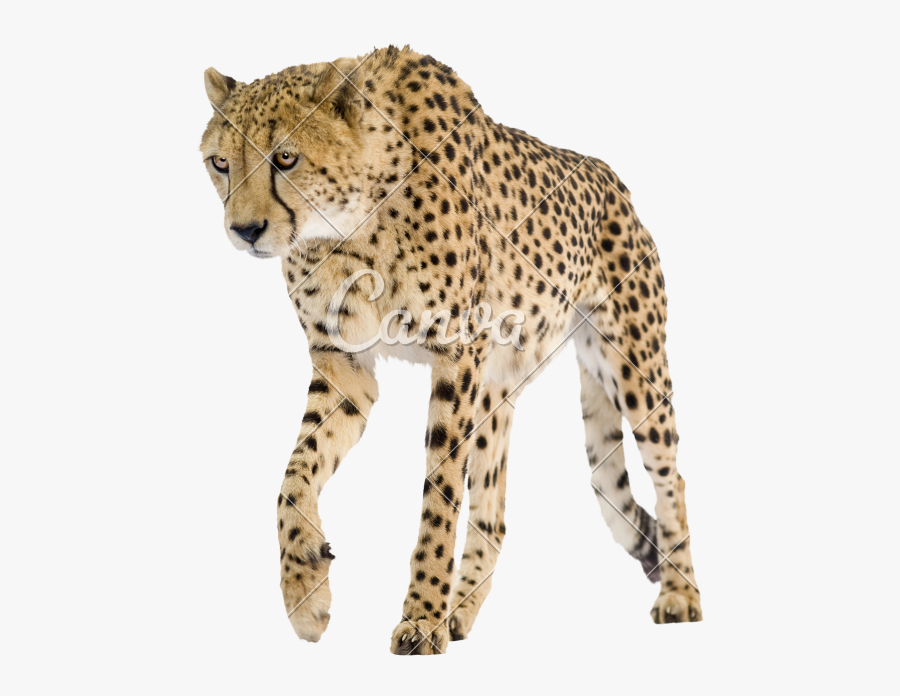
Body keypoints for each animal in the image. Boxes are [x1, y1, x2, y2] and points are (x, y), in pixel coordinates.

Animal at [198, 45, 702, 655]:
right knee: (494, 512)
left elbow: (439, 494)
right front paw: (304, 591)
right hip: (497, 390)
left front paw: (420, 617)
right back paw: (460, 610)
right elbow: (295, 474)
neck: (349, 226)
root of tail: (610, 177)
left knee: (671, 477)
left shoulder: (456, 355)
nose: (244, 229)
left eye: (286, 158)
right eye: (221, 163)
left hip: (633, 367)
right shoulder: (344, 365)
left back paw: (682, 594)